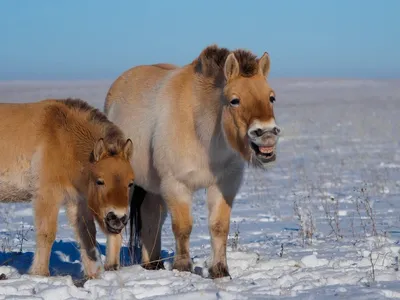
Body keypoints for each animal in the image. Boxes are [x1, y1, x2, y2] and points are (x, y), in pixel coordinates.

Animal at [0, 99, 135, 278]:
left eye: (130, 183)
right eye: (100, 181)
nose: (118, 218)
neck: (63, 139)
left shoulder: (76, 201)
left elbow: (87, 235)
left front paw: (93, 275)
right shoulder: (47, 196)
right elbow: (46, 234)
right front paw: (39, 273)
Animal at [103, 45, 280, 278]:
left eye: (271, 97)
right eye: (235, 100)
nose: (266, 134)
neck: (200, 131)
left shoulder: (223, 185)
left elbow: (219, 226)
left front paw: (219, 270)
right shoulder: (176, 185)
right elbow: (183, 227)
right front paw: (182, 267)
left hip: (153, 189)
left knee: (152, 216)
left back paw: (153, 264)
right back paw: (111, 267)